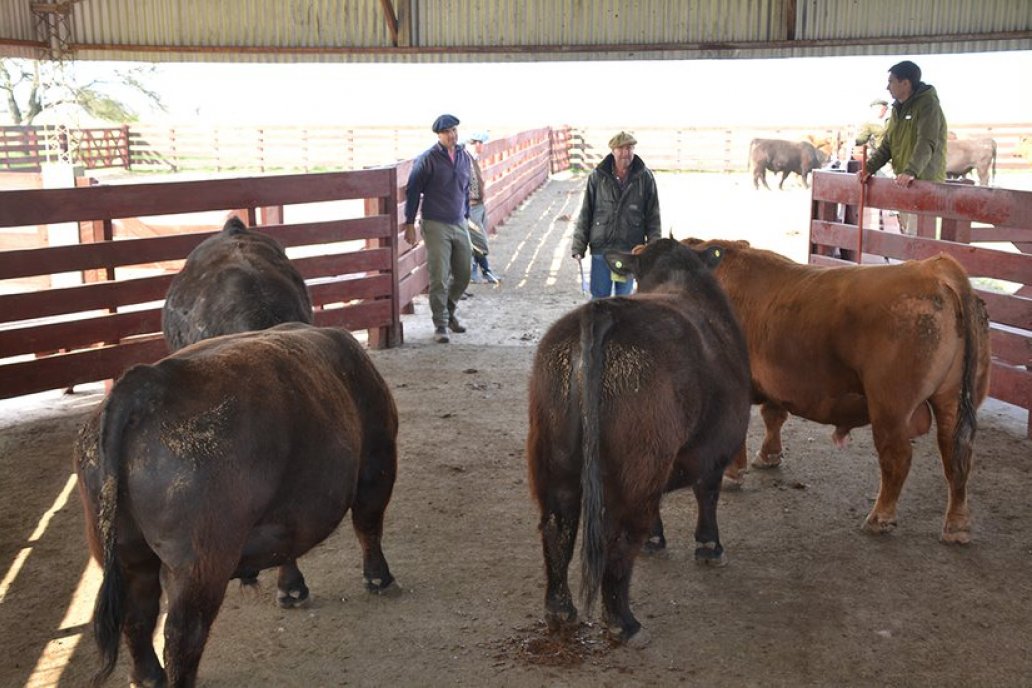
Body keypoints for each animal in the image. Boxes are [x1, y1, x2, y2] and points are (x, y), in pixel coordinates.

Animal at [75, 323, 398, 688]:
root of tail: (142, 385)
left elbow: (287, 544)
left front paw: (291, 589)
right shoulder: (377, 462)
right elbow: (368, 525)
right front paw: (379, 579)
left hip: (127, 552)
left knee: (138, 615)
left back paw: (148, 677)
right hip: (200, 563)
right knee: (182, 634)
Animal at [528, 238, 747, 647]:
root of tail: (602, 311)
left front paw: (656, 541)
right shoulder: (714, 448)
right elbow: (707, 493)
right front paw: (709, 547)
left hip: (555, 455)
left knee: (557, 525)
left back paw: (560, 610)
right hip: (639, 462)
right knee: (620, 536)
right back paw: (624, 623)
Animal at [681, 239, 986, 544]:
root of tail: (935, 269)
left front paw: (732, 473)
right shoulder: (775, 381)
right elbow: (774, 415)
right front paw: (768, 456)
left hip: (890, 408)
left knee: (897, 456)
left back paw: (880, 517)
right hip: (951, 400)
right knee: (956, 453)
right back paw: (956, 525)